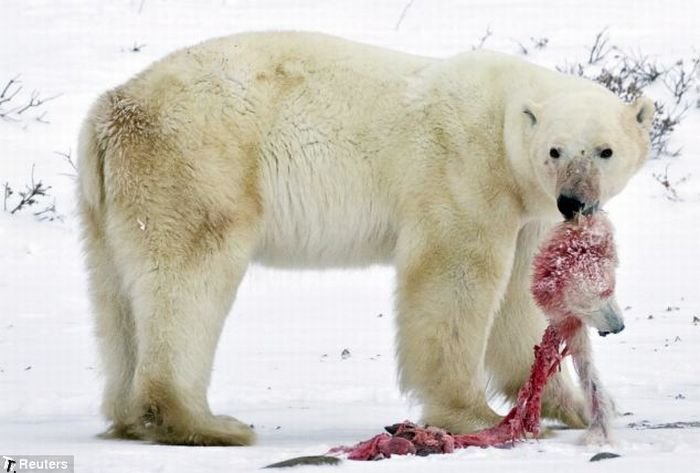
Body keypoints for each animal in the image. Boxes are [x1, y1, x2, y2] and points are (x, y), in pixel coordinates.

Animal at [76, 31, 652, 444]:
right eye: (556, 150)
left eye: (604, 150)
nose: (574, 201)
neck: (504, 120)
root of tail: (111, 109)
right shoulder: (464, 171)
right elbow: (454, 278)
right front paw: (473, 414)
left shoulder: (526, 211)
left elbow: (519, 302)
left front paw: (574, 406)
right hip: (198, 165)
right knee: (188, 281)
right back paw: (205, 424)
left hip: (110, 202)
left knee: (116, 297)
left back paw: (131, 417)